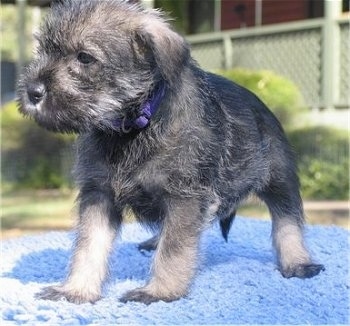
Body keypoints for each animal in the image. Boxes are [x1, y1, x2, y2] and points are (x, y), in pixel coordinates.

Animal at [17, 0, 324, 306]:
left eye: (84, 58)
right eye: (42, 50)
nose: (32, 92)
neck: (132, 128)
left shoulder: (184, 197)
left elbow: (174, 249)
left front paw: (159, 291)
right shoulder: (99, 194)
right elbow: (89, 245)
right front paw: (75, 290)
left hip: (279, 180)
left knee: (287, 221)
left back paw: (297, 261)